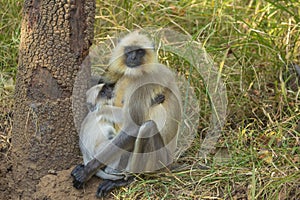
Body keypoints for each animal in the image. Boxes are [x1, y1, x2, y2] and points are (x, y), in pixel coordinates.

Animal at [71, 30, 182, 197]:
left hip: (160, 160)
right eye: (129, 51)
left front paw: (87, 171)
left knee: (147, 127)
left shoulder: (145, 83)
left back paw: (129, 178)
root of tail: (170, 162)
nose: (133, 58)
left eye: (140, 51)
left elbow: (133, 127)